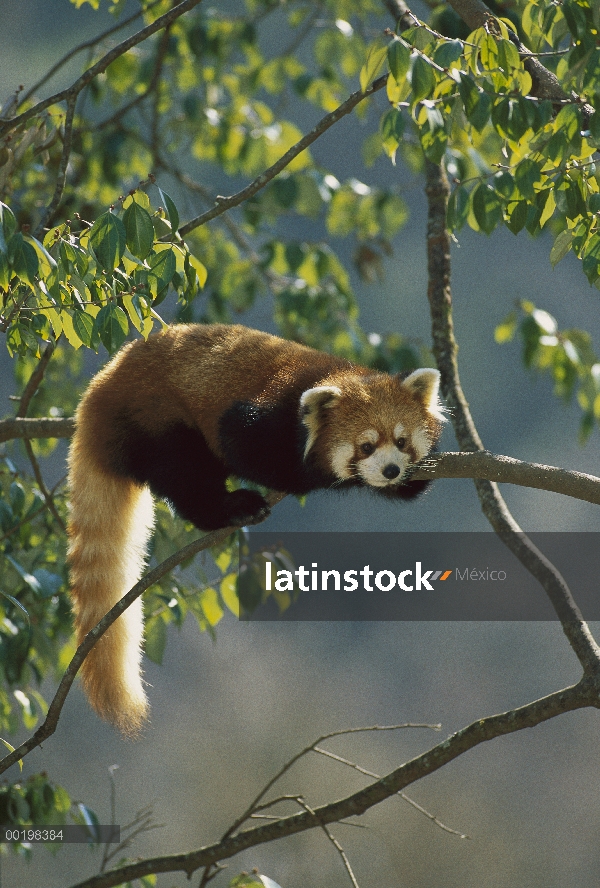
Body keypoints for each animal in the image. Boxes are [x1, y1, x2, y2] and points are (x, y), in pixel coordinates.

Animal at [68, 322, 446, 732]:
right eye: (365, 446)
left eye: (401, 441)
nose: (390, 470)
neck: (328, 377)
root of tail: (97, 392)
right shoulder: (260, 415)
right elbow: (247, 448)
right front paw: (311, 477)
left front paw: (413, 478)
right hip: (155, 416)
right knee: (186, 471)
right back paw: (230, 507)